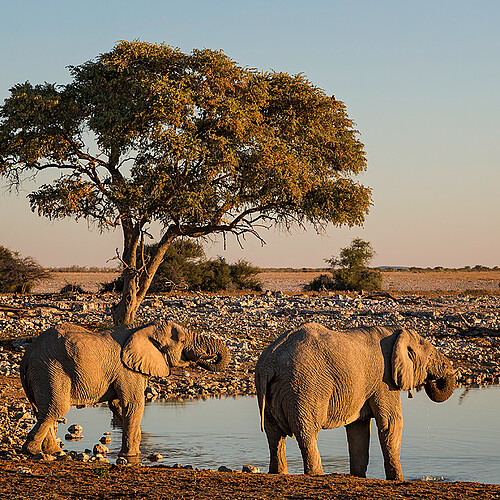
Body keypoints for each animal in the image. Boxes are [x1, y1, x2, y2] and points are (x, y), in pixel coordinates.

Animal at [19, 322, 230, 458]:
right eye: (183, 340)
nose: (203, 356)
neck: (143, 328)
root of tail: (27, 355)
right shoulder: (127, 370)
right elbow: (133, 404)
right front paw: (131, 456)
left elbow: (119, 406)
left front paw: (135, 453)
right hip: (50, 369)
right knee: (56, 408)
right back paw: (35, 452)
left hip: (42, 373)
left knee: (42, 410)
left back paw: (55, 452)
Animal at [256, 322, 456, 482]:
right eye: (431, 357)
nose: (431, 381)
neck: (395, 332)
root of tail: (269, 363)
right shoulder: (384, 381)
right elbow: (391, 423)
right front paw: (399, 479)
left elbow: (358, 428)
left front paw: (359, 476)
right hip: (304, 386)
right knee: (306, 432)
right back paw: (317, 475)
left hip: (267, 390)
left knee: (274, 434)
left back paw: (279, 473)